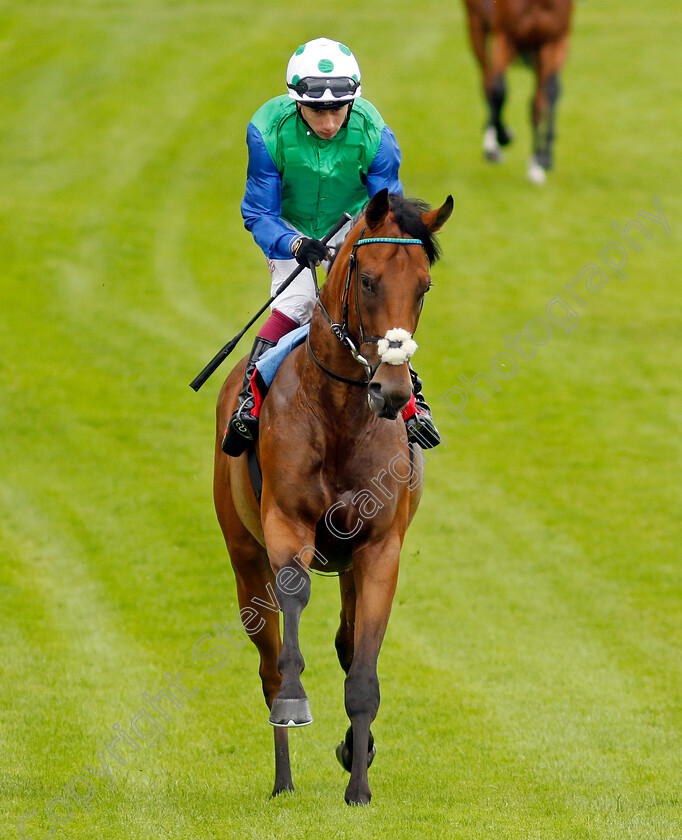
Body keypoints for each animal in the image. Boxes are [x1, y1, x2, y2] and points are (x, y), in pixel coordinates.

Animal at [212, 187, 452, 804]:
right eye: (366, 280)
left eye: (424, 286)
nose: (393, 391)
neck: (342, 415)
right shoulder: (285, 526)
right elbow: (293, 612)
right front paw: (296, 705)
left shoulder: (379, 547)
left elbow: (362, 665)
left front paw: (359, 782)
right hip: (244, 557)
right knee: (269, 662)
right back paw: (283, 778)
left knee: (346, 641)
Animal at [462, 0, 572, 183]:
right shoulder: (506, 36)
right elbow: (499, 91)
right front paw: (502, 138)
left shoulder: (554, 40)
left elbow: (546, 95)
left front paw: (541, 161)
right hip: (477, 26)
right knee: (488, 82)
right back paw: (493, 144)